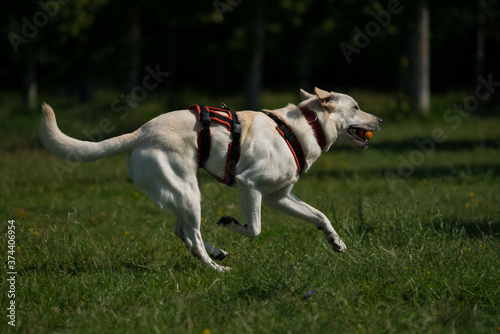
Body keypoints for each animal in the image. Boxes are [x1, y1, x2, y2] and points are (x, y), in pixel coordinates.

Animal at [40, 88, 382, 272]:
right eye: (356, 107)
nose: (379, 119)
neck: (303, 127)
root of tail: (138, 133)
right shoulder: (249, 185)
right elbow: (255, 229)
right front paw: (232, 224)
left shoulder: (279, 196)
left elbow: (320, 215)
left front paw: (336, 242)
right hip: (190, 193)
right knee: (191, 239)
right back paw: (217, 267)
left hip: (184, 192)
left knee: (182, 232)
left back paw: (217, 253)